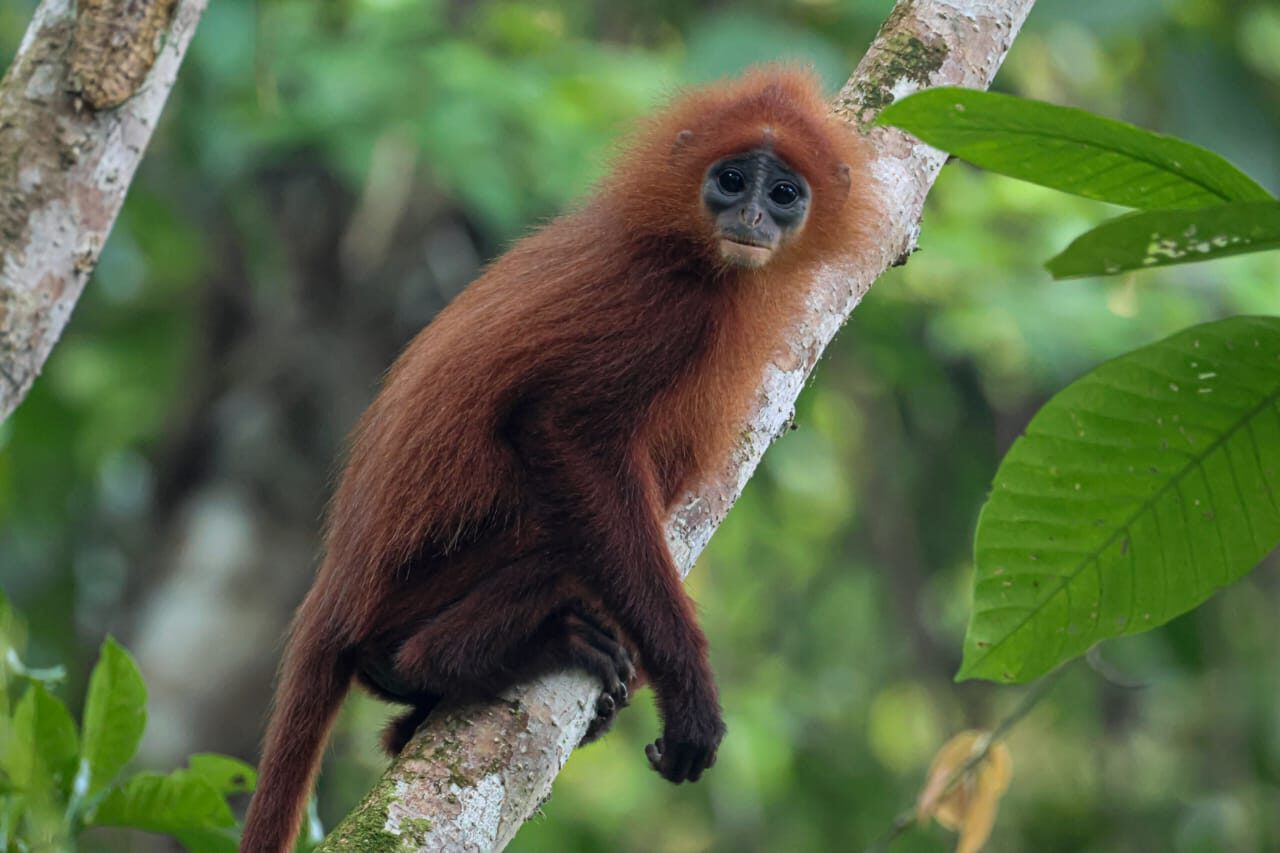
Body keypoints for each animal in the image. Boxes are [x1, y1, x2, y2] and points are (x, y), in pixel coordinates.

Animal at [239, 66, 872, 853]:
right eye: (731, 180)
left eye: (785, 193)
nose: (753, 215)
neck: (694, 258)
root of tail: (332, 592)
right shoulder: (663, 310)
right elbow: (559, 432)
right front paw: (689, 689)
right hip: (413, 590)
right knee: (551, 542)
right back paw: (451, 657)